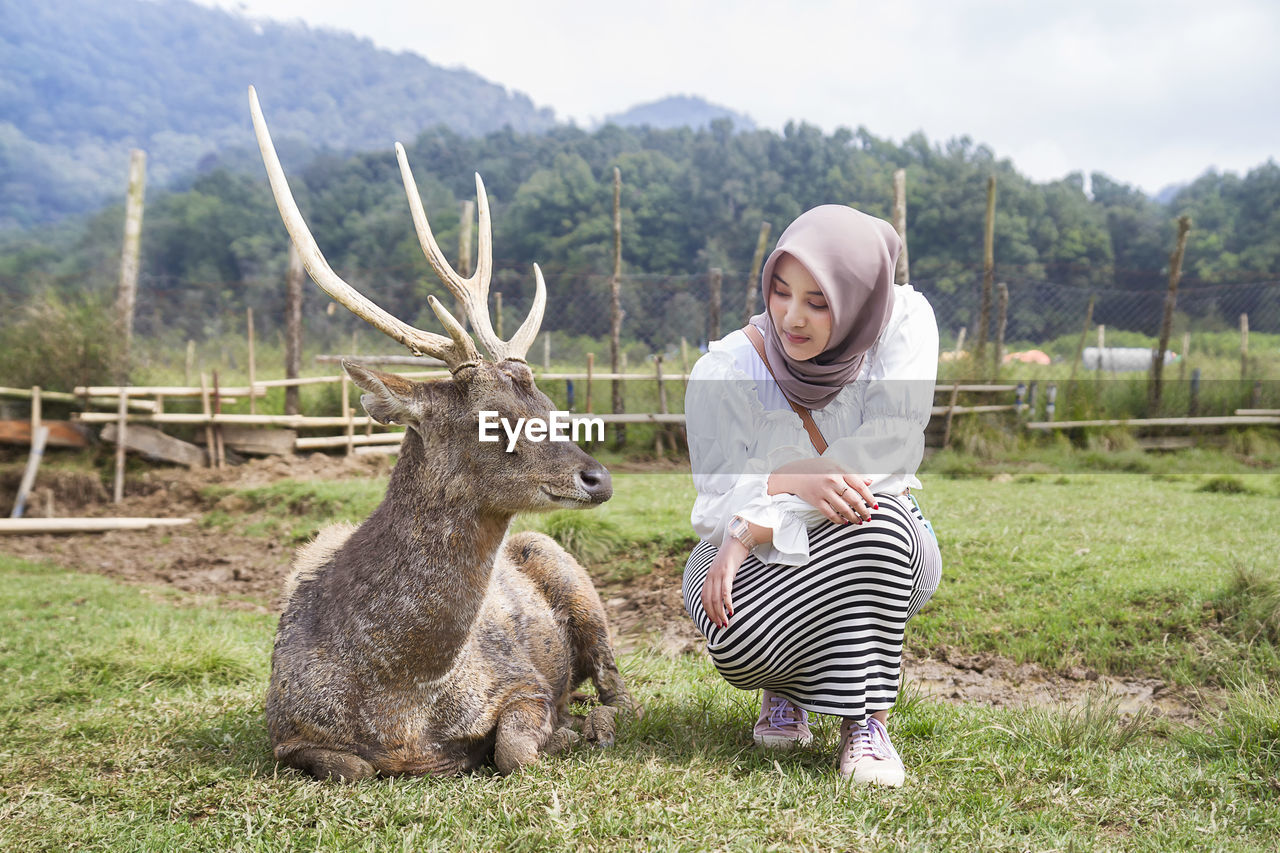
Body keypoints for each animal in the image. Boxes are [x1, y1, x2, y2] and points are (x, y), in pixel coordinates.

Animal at [247, 84, 632, 778]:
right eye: (492, 417)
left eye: (549, 401)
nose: (598, 477)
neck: (405, 696)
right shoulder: (284, 729)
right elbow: (354, 766)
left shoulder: (521, 683)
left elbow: (513, 749)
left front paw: (564, 735)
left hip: (571, 573)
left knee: (618, 686)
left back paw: (598, 720)